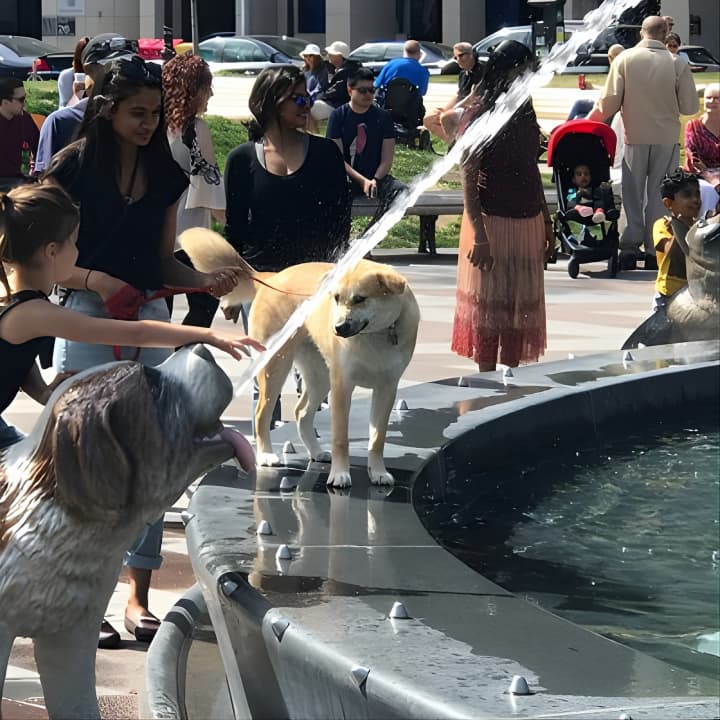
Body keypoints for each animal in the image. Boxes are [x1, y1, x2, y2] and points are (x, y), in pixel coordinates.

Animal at [179, 229, 422, 490]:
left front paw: (378, 472)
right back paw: (266, 455)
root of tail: (272, 277)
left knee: (301, 412)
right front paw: (340, 475)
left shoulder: (387, 389)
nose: (337, 328)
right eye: (336, 298)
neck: (376, 334)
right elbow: (341, 438)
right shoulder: (342, 386)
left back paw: (315, 452)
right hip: (276, 366)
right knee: (262, 414)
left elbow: (377, 438)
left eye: (360, 299)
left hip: (319, 375)